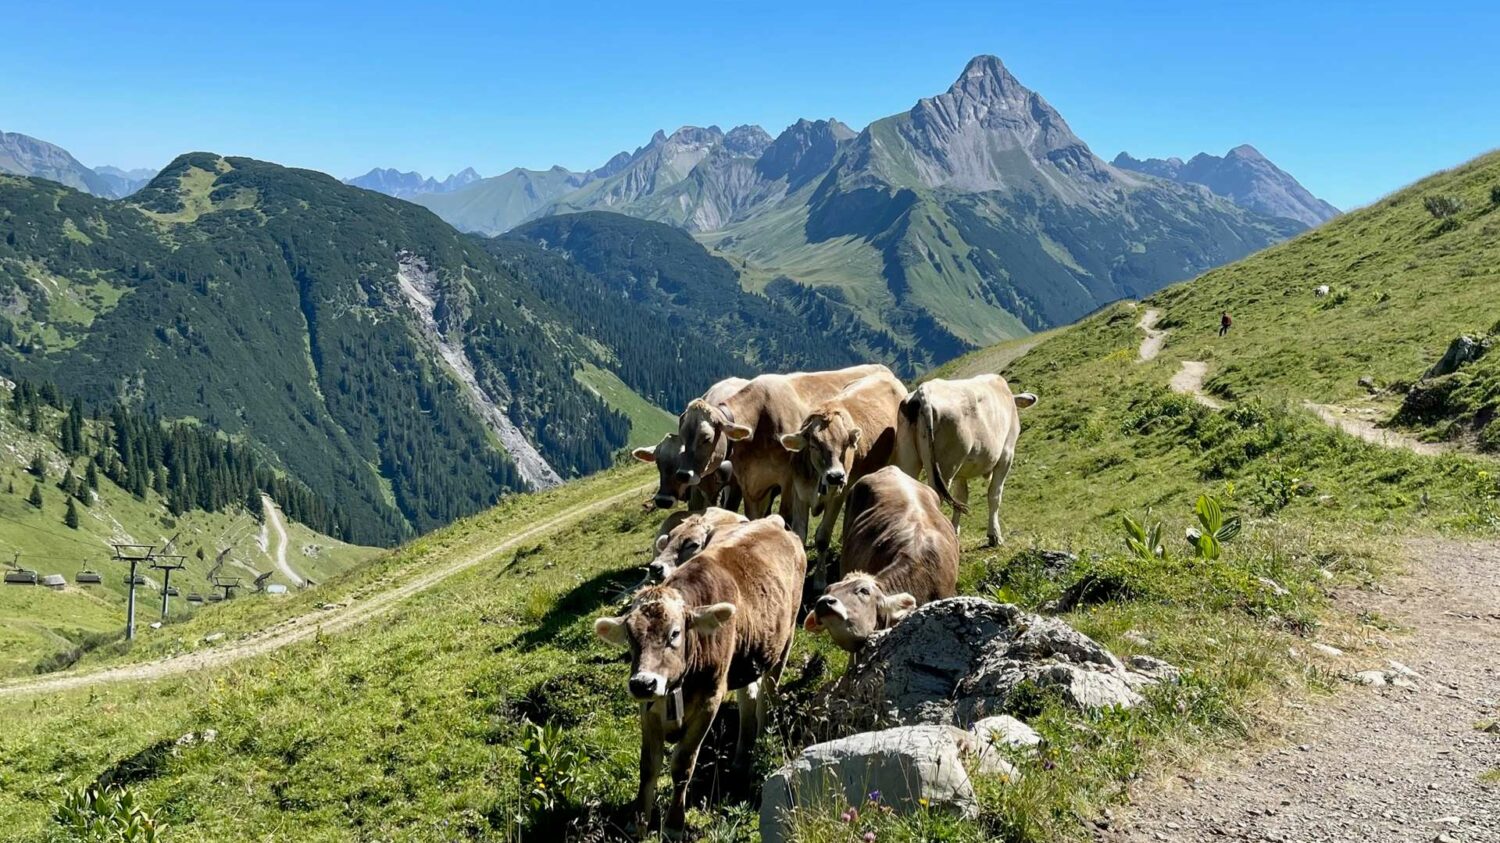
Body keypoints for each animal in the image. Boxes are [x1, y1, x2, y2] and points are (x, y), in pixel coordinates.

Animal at [595, 517, 806, 835]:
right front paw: (638, 822)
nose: (643, 683)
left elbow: (682, 764)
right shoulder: (648, 708)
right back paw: (741, 756)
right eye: (631, 638)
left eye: (675, 633)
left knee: (767, 695)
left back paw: (759, 740)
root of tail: (773, 521)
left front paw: (673, 824)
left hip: (785, 639)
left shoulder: (710, 699)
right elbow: (648, 766)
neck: (676, 689)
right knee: (748, 696)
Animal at [677, 364, 889, 541]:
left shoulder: (788, 480)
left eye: (706, 437)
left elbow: (785, 516)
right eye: (682, 436)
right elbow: (752, 517)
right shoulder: (749, 483)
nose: (683, 474)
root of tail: (881, 367)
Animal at [778, 370, 905, 578]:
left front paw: (819, 579)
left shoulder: (838, 495)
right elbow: (800, 535)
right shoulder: (800, 493)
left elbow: (822, 538)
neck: (818, 479)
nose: (836, 476)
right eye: (814, 444)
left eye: (846, 444)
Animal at [895, 374, 1036, 547]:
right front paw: (994, 535)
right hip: (946, 466)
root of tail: (923, 390)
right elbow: (994, 495)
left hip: (910, 460)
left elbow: (961, 498)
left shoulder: (961, 473)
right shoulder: (1006, 455)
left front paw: (955, 532)